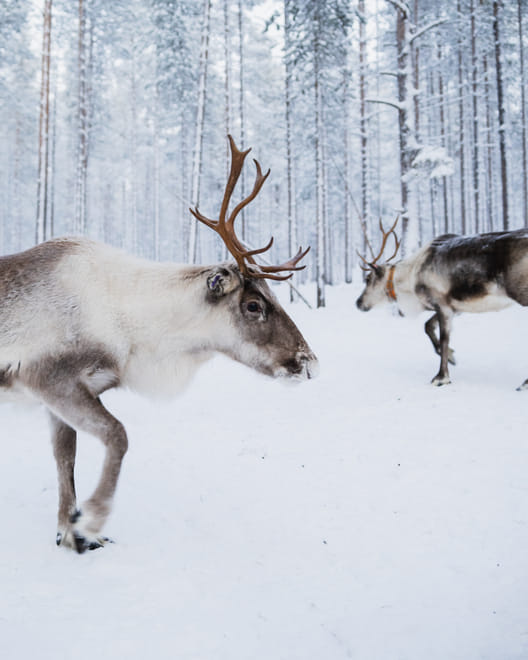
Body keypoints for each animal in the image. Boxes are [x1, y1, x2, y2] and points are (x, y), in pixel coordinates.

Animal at [0, 135, 318, 553]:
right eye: (253, 304)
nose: (308, 360)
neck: (137, 330)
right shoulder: (50, 378)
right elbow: (118, 436)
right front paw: (92, 520)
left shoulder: (68, 393)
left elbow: (65, 459)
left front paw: (70, 533)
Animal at [355, 220, 528, 389]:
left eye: (368, 279)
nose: (358, 302)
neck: (411, 279)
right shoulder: (454, 308)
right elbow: (428, 326)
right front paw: (452, 357)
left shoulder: (442, 304)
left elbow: (444, 338)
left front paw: (441, 377)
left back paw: (524, 383)